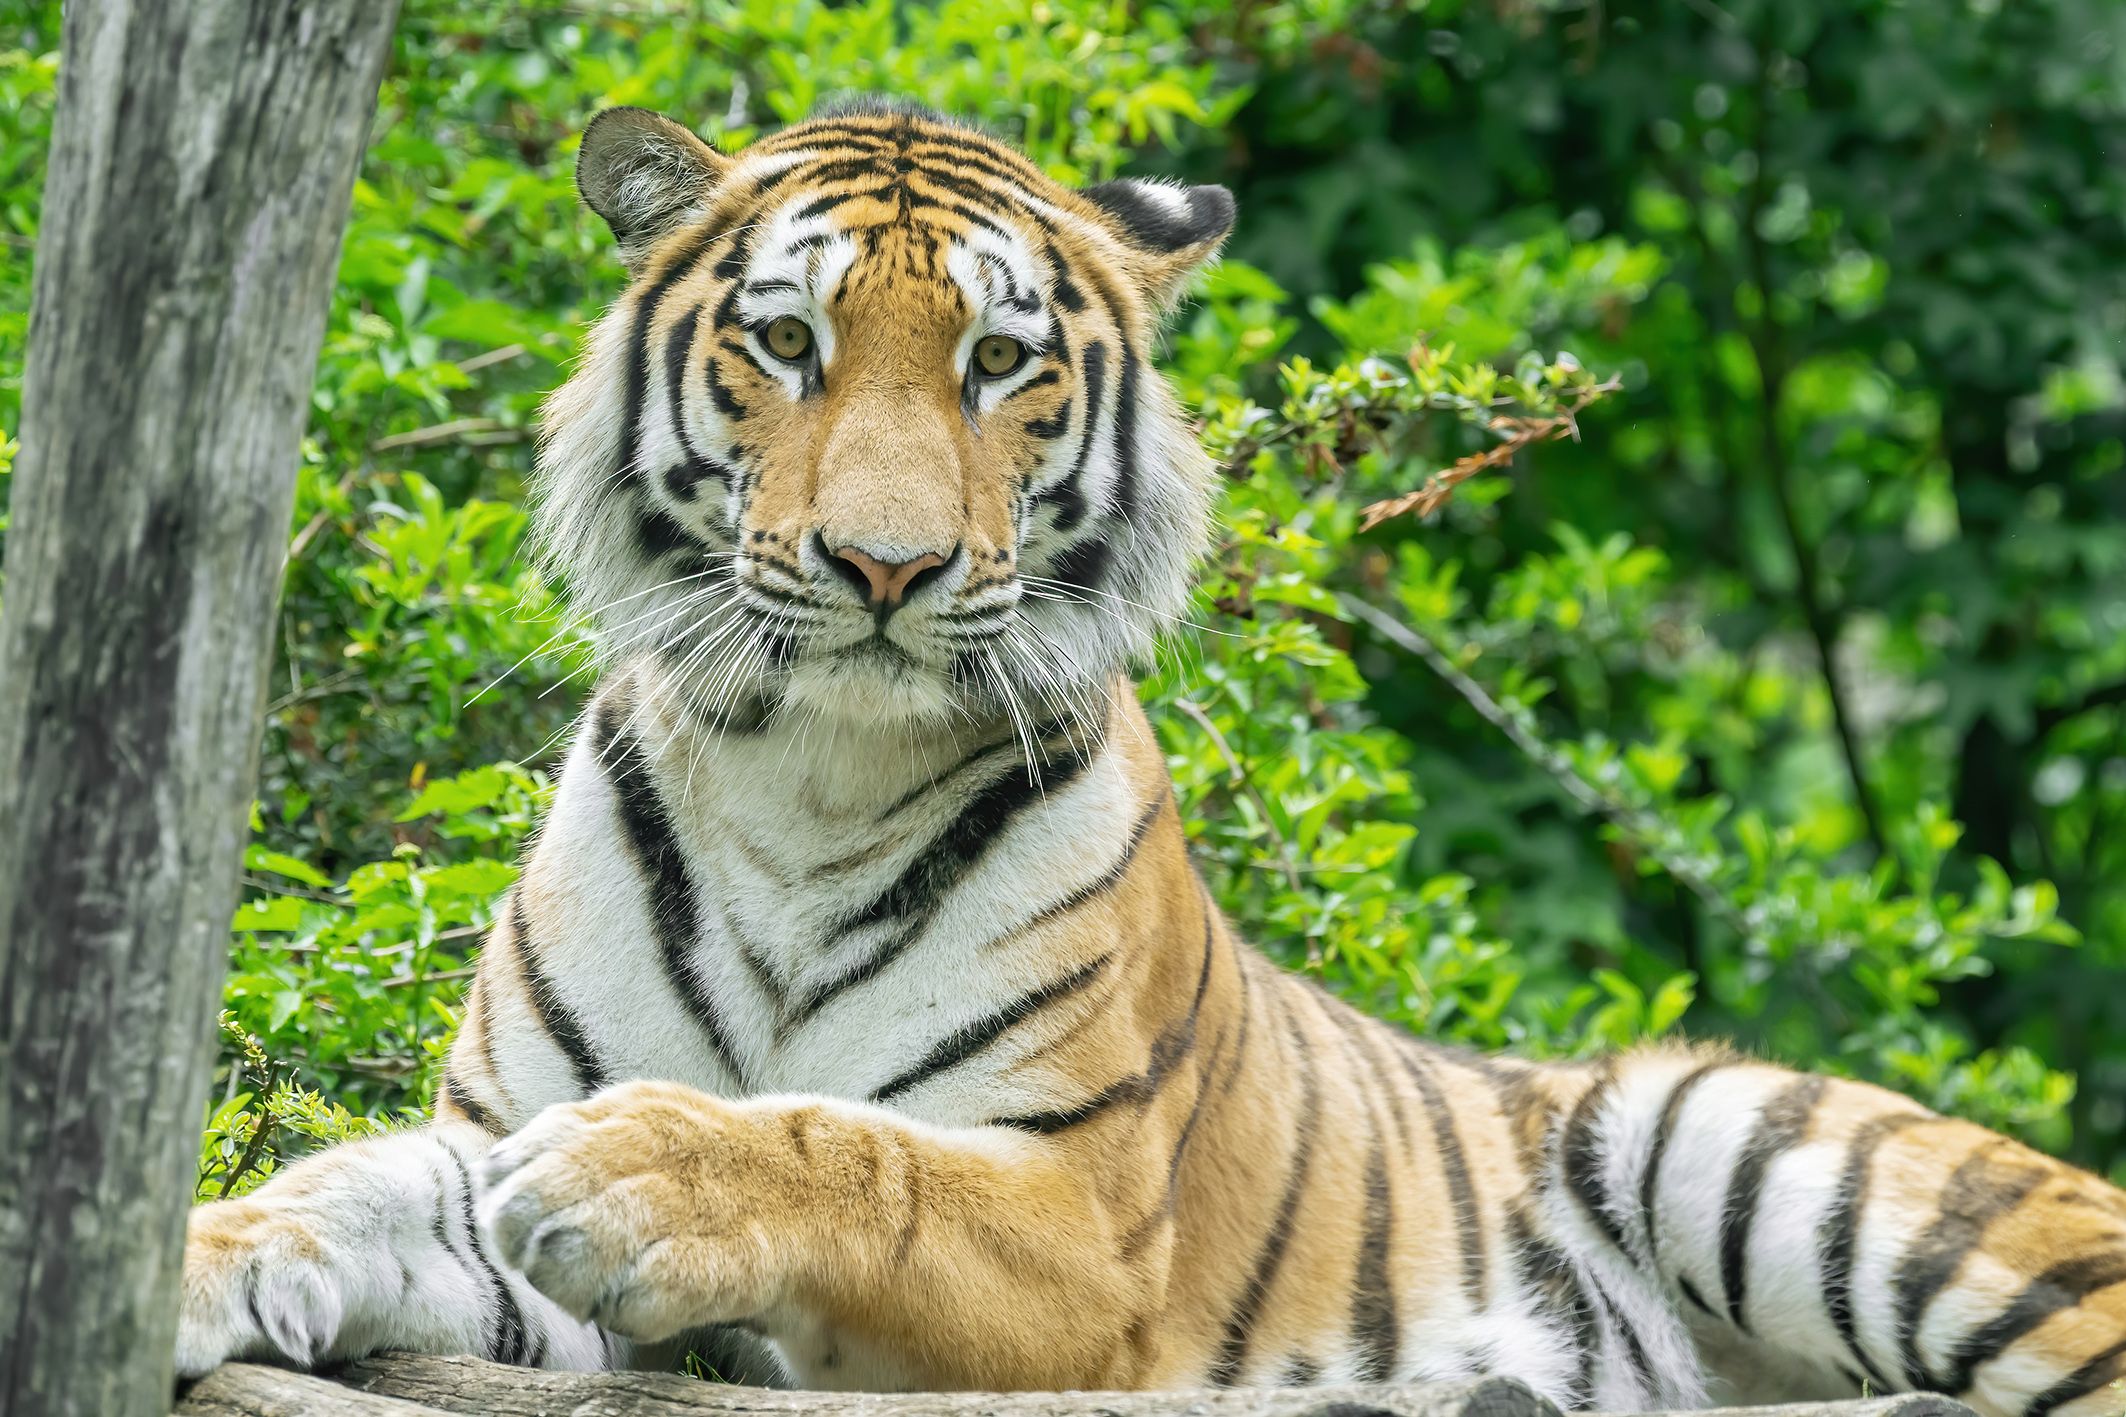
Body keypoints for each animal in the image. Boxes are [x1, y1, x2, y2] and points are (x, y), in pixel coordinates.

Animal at [174, 100, 2126, 1416]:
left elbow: (855, 1158)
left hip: (1729, 1130)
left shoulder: (1086, 1228)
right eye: (787, 341)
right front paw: (192, 1260)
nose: (884, 567)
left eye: (998, 361)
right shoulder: (488, 1147)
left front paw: (644, 1170)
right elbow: (358, 1187)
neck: (808, 777)